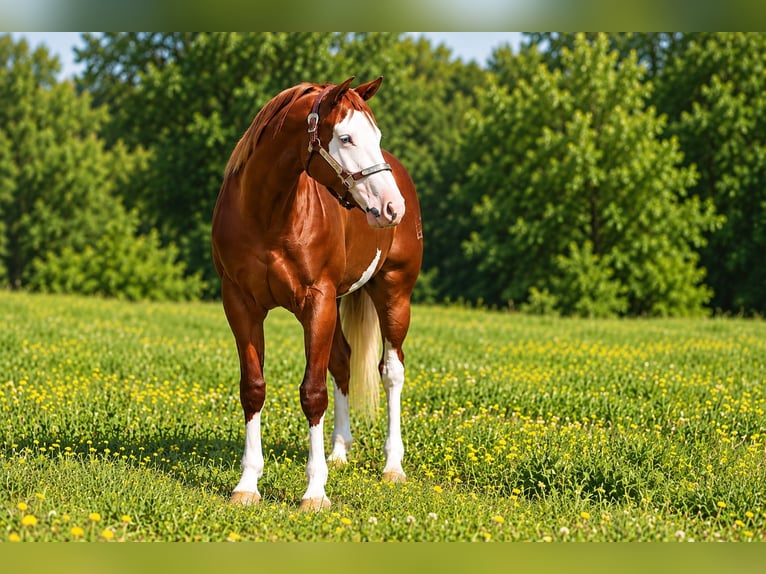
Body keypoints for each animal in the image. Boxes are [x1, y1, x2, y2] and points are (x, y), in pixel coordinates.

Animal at [211, 77, 423, 511]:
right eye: (345, 137)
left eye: (375, 136)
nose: (391, 206)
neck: (267, 213)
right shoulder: (240, 305)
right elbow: (253, 388)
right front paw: (247, 484)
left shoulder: (317, 303)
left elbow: (312, 392)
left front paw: (314, 492)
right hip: (340, 302)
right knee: (342, 361)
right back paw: (339, 451)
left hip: (394, 293)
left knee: (391, 371)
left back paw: (392, 465)